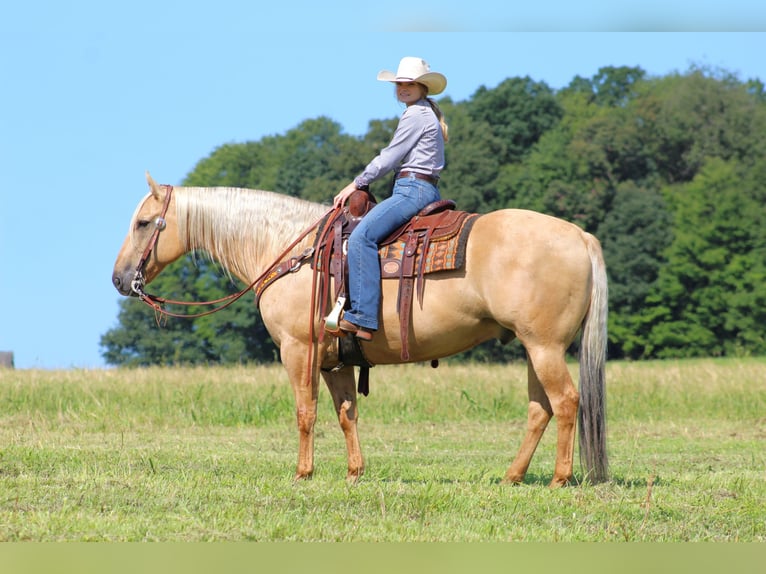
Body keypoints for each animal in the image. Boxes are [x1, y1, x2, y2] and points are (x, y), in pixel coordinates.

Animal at [111, 173, 608, 488]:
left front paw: (303, 473)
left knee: (566, 402)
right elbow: (346, 413)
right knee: (540, 409)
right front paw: (354, 472)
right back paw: (512, 476)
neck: (291, 251)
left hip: (544, 346)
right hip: (533, 348)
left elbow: (305, 412)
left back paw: (560, 478)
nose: (120, 279)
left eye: (143, 223)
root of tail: (581, 237)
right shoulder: (337, 361)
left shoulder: (299, 350)